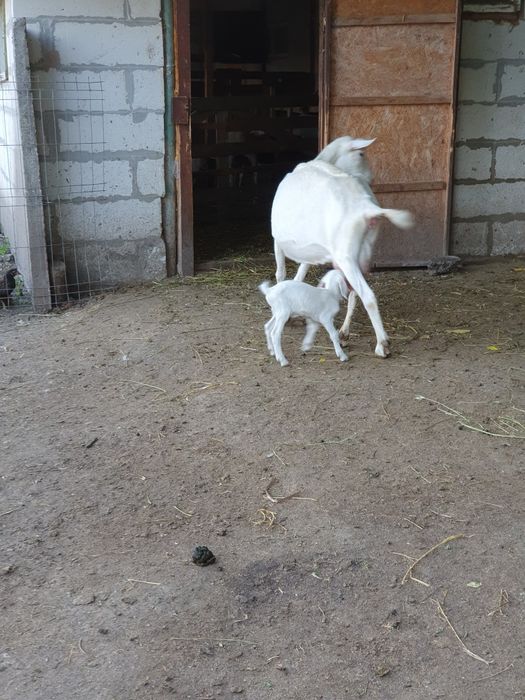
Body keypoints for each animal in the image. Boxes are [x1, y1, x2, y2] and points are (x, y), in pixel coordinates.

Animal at [271, 136, 414, 358]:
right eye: (361, 154)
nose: (371, 179)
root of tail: (365, 208)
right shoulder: (311, 248)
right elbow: (300, 273)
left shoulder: (277, 239)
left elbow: (281, 273)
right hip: (361, 254)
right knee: (354, 292)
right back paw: (344, 333)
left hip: (345, 255)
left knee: (368, 296)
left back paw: (382, 344)